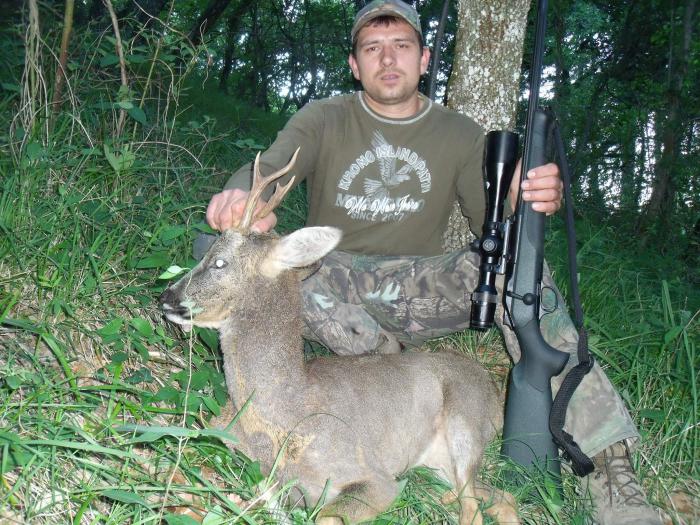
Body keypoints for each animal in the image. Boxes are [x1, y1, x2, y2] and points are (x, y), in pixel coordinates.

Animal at [159, 150, 520, 525]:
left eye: (219, 262)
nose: (166, 297)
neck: (284, 416)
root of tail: (495, 394)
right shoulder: (229, 444)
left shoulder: (373, 475)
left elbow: (324, 514)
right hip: (437, 462)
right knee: (502, 497)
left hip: (466, 419)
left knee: (474, 508)